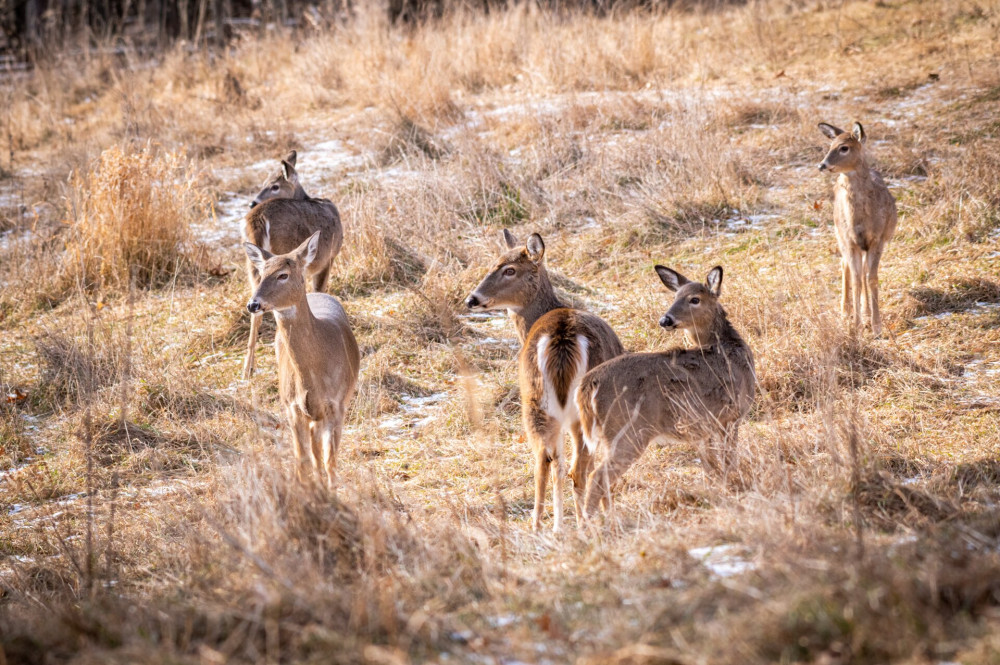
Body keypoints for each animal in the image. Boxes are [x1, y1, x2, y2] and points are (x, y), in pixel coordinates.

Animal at [241, 150, 344, 378]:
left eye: (274, 185)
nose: (252, 202)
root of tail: (258, 218)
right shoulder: (326, 260)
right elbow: (318, 291)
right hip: (285, 250)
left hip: (255, 265)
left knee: (255, 309)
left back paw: (247, 369)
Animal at [243, 230, 360, 488]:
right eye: (261, 273)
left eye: (283, 275)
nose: (253, 304)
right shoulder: (292, 408)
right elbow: (303, 463)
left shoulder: (337, 406)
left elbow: (330, 461)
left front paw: (331, 490)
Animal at [466, 228, 624, 528]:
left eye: (509, 270)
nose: (472, 299)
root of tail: (562, 337)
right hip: (581, 406)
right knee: (577, 467)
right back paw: (583, 523)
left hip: (536, 398)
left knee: (547, 459)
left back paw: (542, 526)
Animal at [576, 264, 752, 520]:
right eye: (675, 297)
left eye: (694, 299)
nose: (665, 320)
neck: (729, 350)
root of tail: (587, 385)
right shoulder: (731, 416)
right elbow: (728, 460)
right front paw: (732, 487)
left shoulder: (702, 429)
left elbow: (710, 467)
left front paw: (717, 490)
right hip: (628, 431)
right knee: (598, 476)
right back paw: (592, 522)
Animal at [820, 121, 900, 334]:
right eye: (830, 145)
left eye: (844, 148)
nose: (822, 165)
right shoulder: (850, 241)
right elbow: (856, 279)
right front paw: (856, 327)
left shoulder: (877, 239)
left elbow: (871, 277)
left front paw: (876, 326)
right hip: (839, 235)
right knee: (845, 265)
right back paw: (845, 311)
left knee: (863, 270)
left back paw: (865, 311)